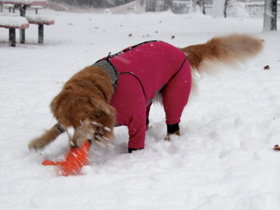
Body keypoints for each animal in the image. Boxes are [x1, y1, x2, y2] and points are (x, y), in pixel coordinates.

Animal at [29, 34, 264, 153]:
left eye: (82, 123)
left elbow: (136, 142)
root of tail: (180, 49)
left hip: (175, 93)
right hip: (148, 97)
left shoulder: (134, 120)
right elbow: (54, 129)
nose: (73, 147)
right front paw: (39, 142)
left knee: (173, 122)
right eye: (68, 126)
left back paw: (170, 140)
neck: (109, 89)